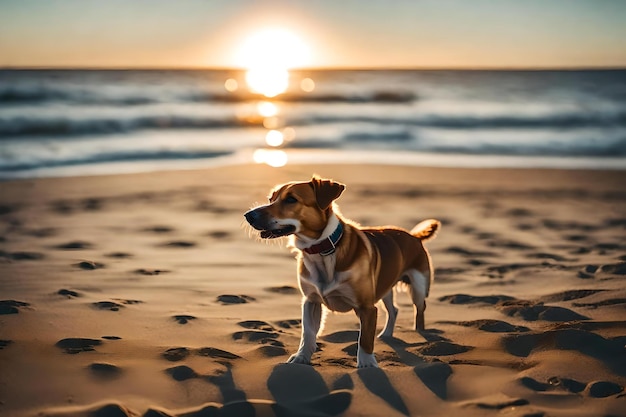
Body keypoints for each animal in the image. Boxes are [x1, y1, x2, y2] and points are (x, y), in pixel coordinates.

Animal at [244, 176, 438, 368]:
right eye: (271, 199)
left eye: (291, 199)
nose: (248, 215)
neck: (321, 249)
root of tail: (413, 236)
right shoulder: (311, 301)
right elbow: (307, 333)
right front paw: (301, 357)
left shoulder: (367, 307)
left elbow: (365, 339)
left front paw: (367, 365)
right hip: (385, 288)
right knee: (394, 310)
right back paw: (386, 335)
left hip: (418, 286)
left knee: (419, 310)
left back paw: (421, 334)